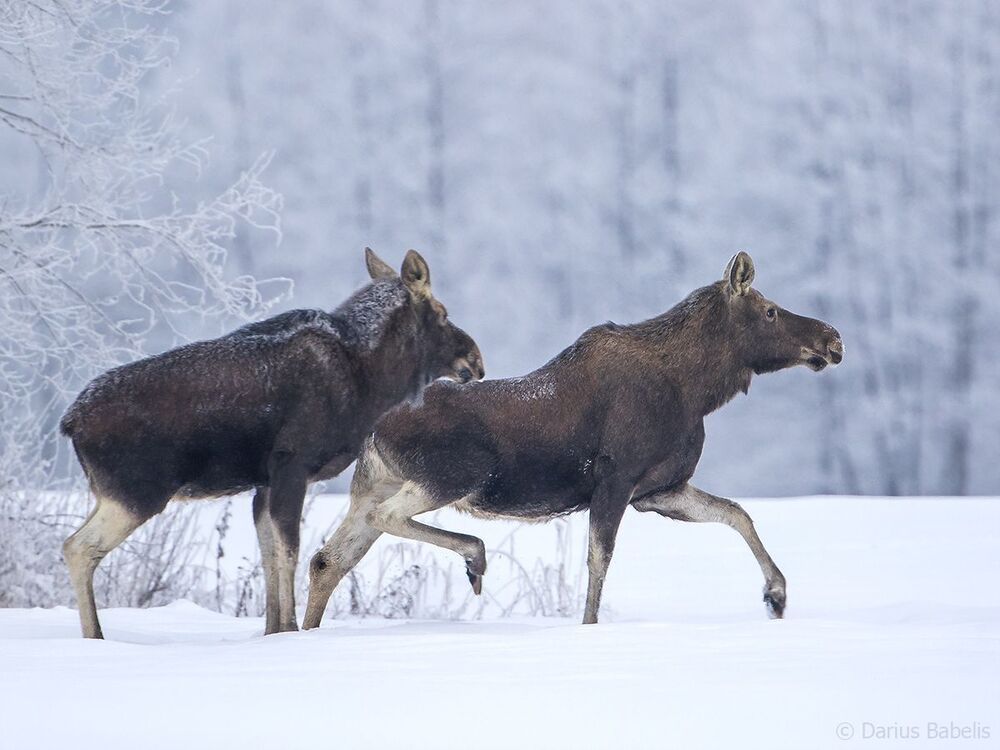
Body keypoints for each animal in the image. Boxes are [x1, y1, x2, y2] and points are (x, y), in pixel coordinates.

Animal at [60, 248, 483, 638]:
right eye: (442, 312)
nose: (476, 360)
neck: (372, 380)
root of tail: (70, 423)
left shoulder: (263, 483)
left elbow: (268, 556)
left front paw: (272, 631)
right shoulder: (291, 465)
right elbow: (290, 551)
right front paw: (290, 629)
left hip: (113, 494)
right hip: (136, 493)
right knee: (77, 547)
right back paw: (95, 636)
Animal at [303, 252, 843, 627]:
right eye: (770, 311)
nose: (832, 339)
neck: (696, 391)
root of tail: (371, 426)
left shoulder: (660, 490)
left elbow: (737, 513)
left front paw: (776, 595)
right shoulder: (617, 479)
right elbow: (598, 563)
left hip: (376, 483)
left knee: (328, 559)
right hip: (451, 475)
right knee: (384, 521)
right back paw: (475, 556)